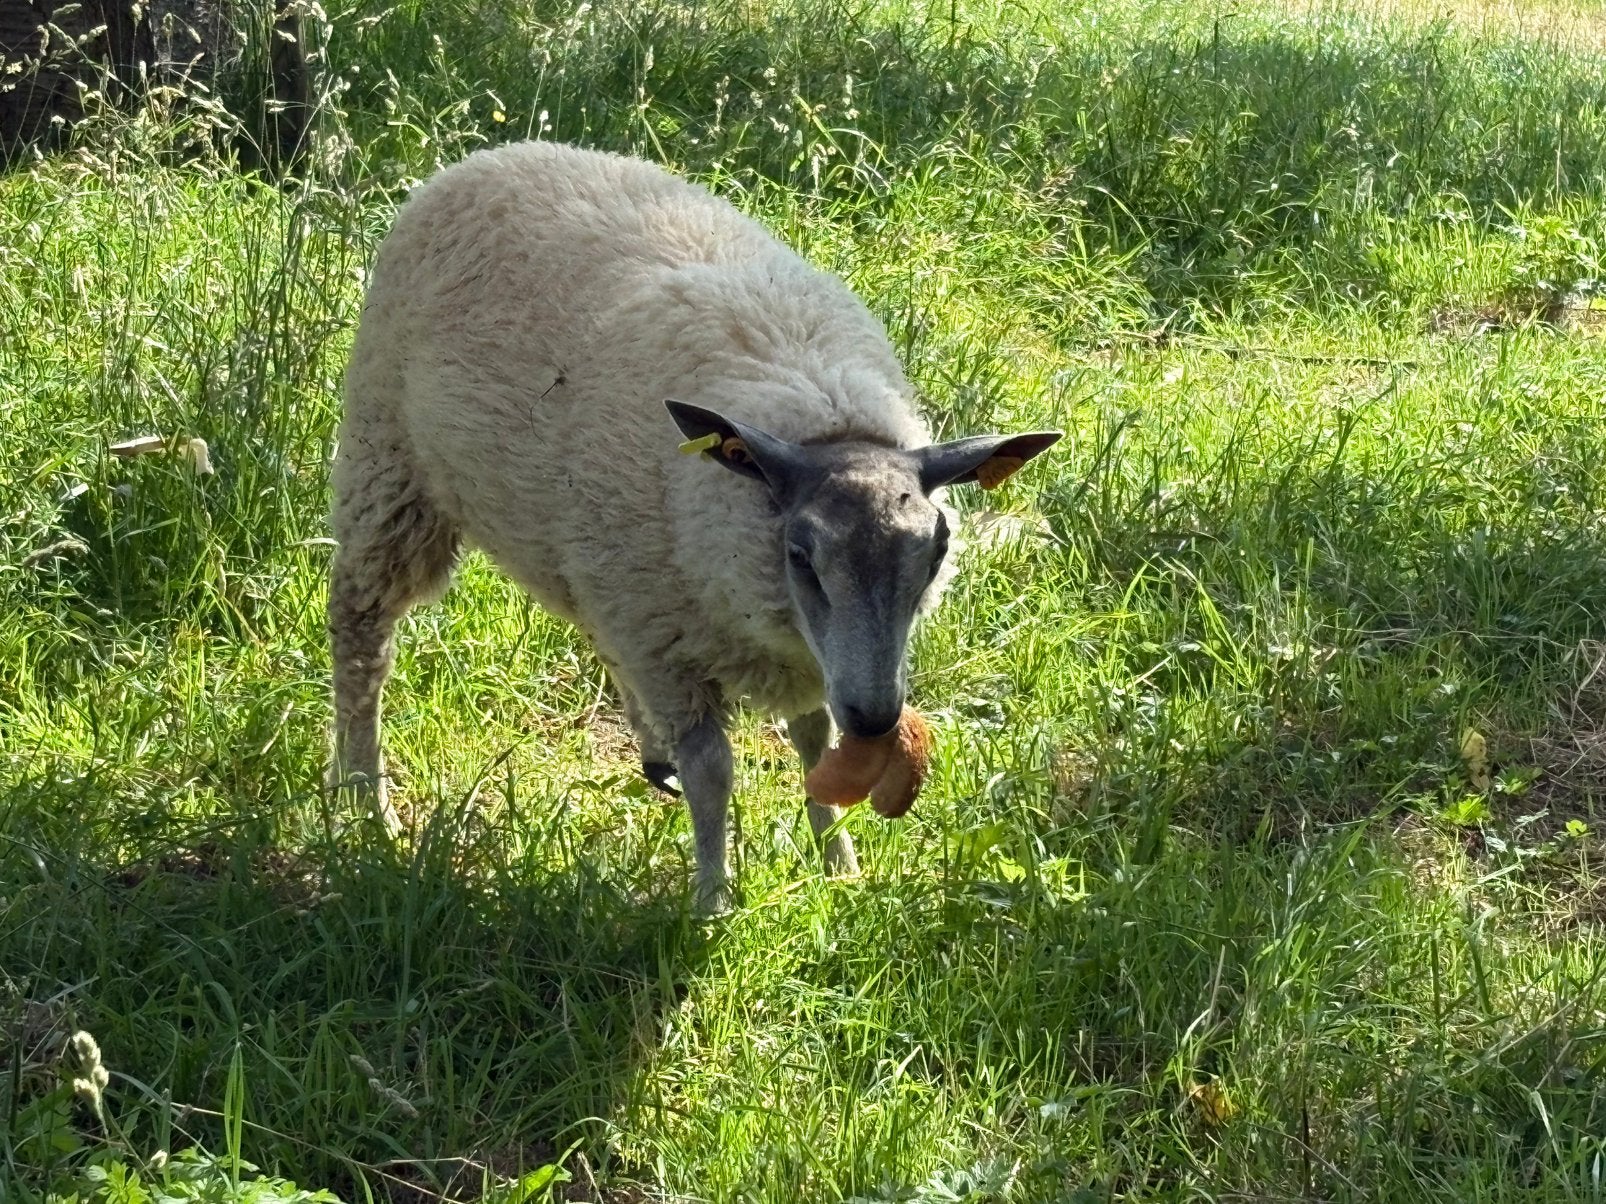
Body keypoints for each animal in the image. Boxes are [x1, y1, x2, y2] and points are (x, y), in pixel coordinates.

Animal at [328, 140, 1060, 913]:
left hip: (587, 558)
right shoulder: (670, 642)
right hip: (391, 467)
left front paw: (839, 867)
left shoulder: (784, 650)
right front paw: (714, 901)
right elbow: (714, 770)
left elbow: (812, 739)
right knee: (362, 632)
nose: (876, 718)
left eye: (938, 550)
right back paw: (365, 800)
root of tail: (493, 155)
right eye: (800, 554)